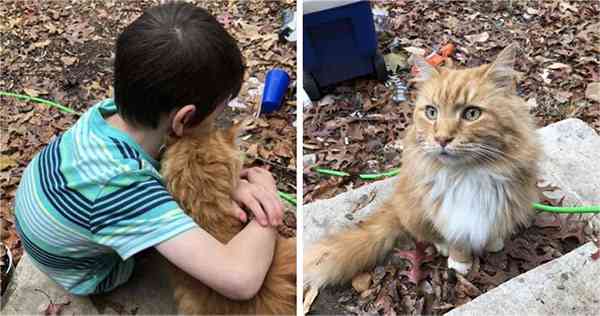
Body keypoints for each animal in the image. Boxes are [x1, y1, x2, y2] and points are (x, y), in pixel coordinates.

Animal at [304, 43, 540, 290]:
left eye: (472, 113)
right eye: (431, 112)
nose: (442, 139)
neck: (469, 173)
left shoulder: (504, 202)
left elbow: (494, 224)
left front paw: (494, 241)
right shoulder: (450, 214)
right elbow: (457, 240)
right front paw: (460, 262)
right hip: (413, 211)